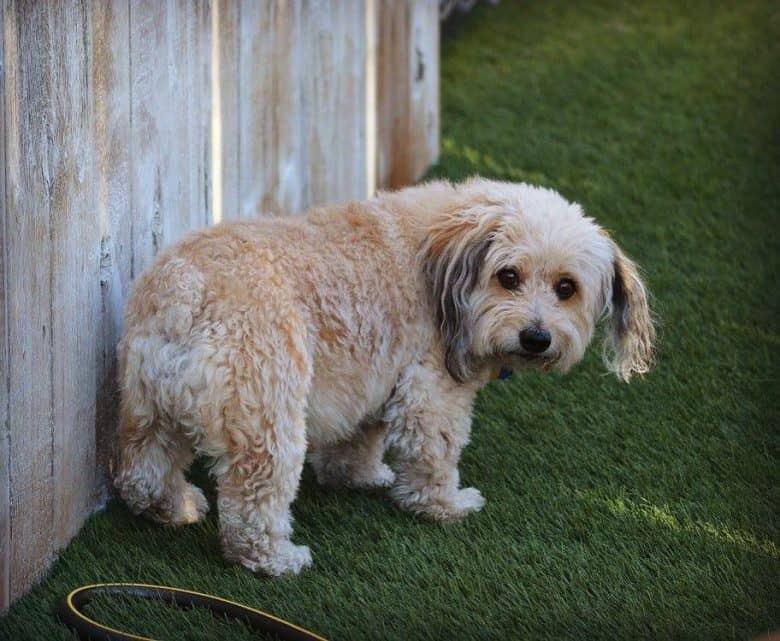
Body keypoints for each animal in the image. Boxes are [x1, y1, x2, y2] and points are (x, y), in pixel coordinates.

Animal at [114, 176, 652, 576]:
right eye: (508, 277)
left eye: (566, 288)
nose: (536, 337)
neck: (446, 249)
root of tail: (185, 294)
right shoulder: (431, 391)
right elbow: (434, 456)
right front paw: (447, 506)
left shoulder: (374, 376)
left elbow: (358, 441)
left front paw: (361, 477)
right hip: (266, 422)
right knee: (252, 510)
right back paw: (278, 559)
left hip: (148, 410)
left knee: (140, 474)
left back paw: (176, 507)